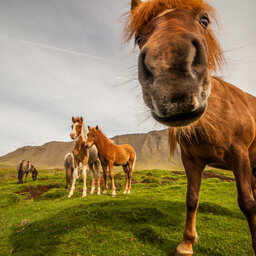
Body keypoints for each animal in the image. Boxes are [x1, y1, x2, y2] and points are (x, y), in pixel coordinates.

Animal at [124, 0, 256, 255]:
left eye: (204, 20)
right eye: (138, 37)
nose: (169, 69)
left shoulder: (240, 153)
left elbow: (247, 202)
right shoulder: (191, 160)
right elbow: (192, 198)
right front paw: (186, 243)